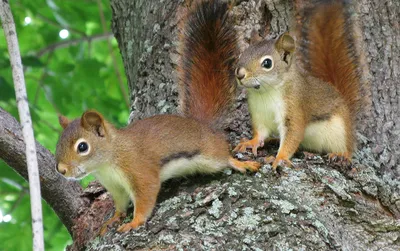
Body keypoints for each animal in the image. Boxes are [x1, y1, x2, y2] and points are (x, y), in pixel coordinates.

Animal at [54, 0, 260, 235]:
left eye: (82, 147)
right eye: (58, 143)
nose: (61, 170)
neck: (108, 161)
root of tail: (201, 124)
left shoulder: (140, 171)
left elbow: (145, 197)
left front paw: (134, 222)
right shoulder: (116, 187)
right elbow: (120, 204)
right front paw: (113, 219)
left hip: (210, 155)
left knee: (223, 158)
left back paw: (240, 163)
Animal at [233, 0, 368, 171]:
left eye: (267, 63)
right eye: (242, 54)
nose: (239, 74)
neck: (266, 93)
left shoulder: (295, 108)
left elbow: (293, 134)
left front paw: (280, 158)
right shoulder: (260, 114)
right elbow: (261, 132)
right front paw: (251, 142)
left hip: (341, 131)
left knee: (348, 148)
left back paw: (341, 155)